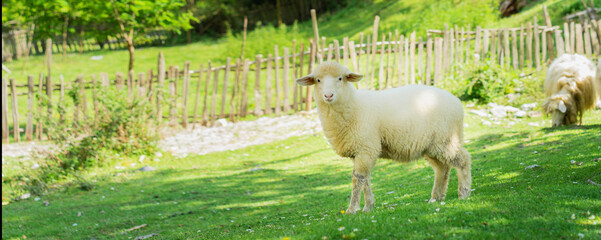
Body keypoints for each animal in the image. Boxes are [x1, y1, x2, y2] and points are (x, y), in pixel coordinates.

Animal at [298, 61, 472, 214]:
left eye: (340, 78)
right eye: (318, 80)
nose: (328, 95)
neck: (353, 105)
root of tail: (457, 101)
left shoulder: (366, 147)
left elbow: (357, 179)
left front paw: (352, 209)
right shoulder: (360, 151)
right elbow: (366, 179)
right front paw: (368, 207)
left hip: (446, 139)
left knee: (463, 160)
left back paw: (464, 193)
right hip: (432, 145)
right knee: (442, 168)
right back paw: (436, 198)